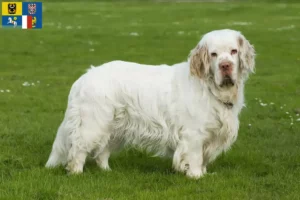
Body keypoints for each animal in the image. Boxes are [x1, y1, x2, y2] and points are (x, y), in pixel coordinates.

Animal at [46, 28, 255, 179]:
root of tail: (85, 76)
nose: (226, 66)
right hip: (93, 124)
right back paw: (76, 173)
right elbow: (195, 157)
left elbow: (203, 159)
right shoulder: (194, 134)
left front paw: (204, 174)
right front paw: (196, 176)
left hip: (115, 127)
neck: (210, 88)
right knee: (78, 150)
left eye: (233, 51)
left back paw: (107, 172)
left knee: (102, 153)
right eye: (213, 54)